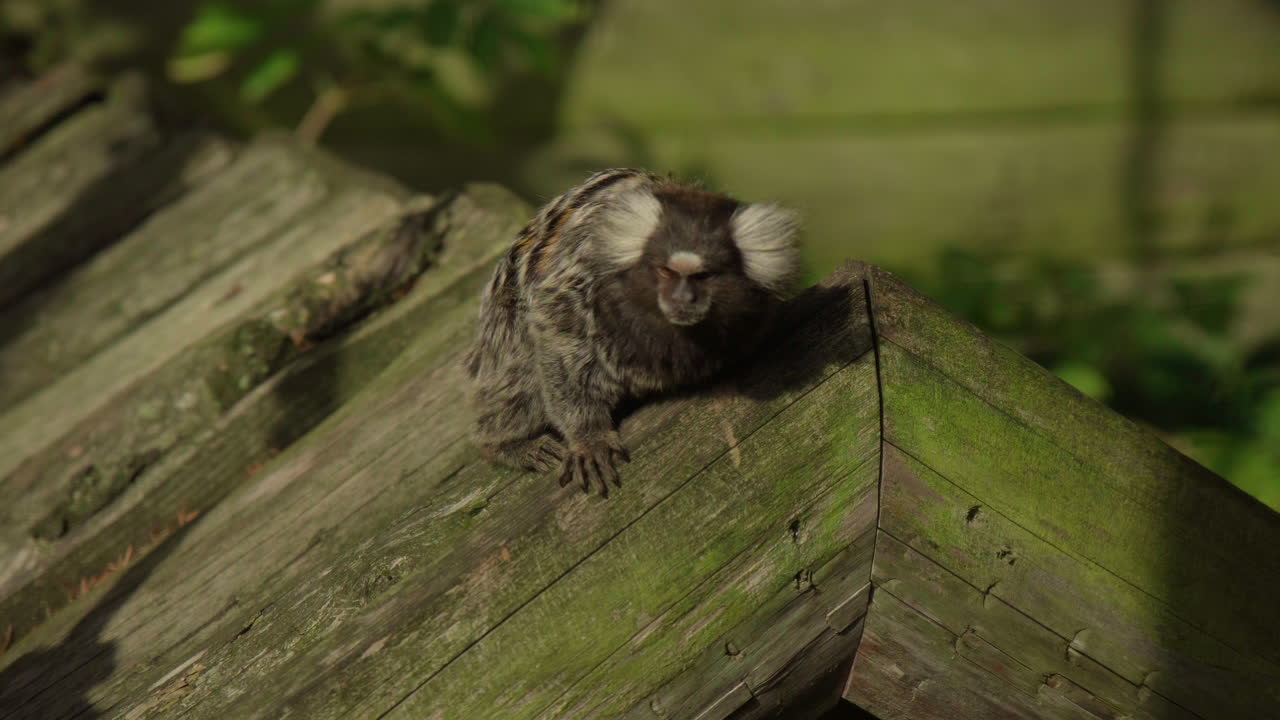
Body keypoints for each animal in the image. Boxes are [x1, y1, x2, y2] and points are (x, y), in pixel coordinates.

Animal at [464, 168, 801, 497]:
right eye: (666, 271)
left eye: (703, 276)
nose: (682, 298)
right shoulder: (582, 276)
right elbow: (555, 329)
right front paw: (588, 437)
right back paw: (505, 443)